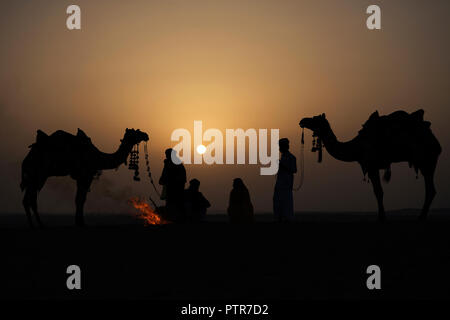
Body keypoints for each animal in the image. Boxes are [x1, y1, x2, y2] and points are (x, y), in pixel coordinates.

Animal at [20, 128, 149, 228]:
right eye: (136, 132)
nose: (146, 135)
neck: (99, 157)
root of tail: (26, 159)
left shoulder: (81, 177)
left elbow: (78, 199)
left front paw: (79, 222)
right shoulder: (86, 175)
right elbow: (81, 199)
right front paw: (81, 223)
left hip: (35, 176)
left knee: (28, 199)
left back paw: (36, 224)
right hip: (39, 174)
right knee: (30, 199)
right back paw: (38, 225)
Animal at [300, 109, 442, 220]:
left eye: (315, 119)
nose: (302, 120)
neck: (356, 147)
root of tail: (434, 140)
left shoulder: (372, 165)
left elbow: (378, 191)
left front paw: (381, 217)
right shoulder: (373, 166)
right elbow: (378, 191)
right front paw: (382, 216)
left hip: (427, 160)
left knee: (430, 189)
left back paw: (421, 217)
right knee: (431, 189)